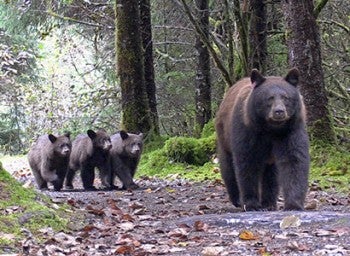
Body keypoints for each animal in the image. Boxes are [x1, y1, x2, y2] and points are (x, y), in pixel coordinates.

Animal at [216, 68, 308, 210]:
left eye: (285, 97)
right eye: (269, 98)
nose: (279, 111)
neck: (271, 129)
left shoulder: (290, 131)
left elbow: (294, 160)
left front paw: (294, 204)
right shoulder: (247, 131)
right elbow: (247, 163)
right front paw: (251, 203)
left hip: (270, 158)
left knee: (271, 174)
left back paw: (269, 202)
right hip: (224, 137)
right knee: (228, 167)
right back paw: (237, 199)